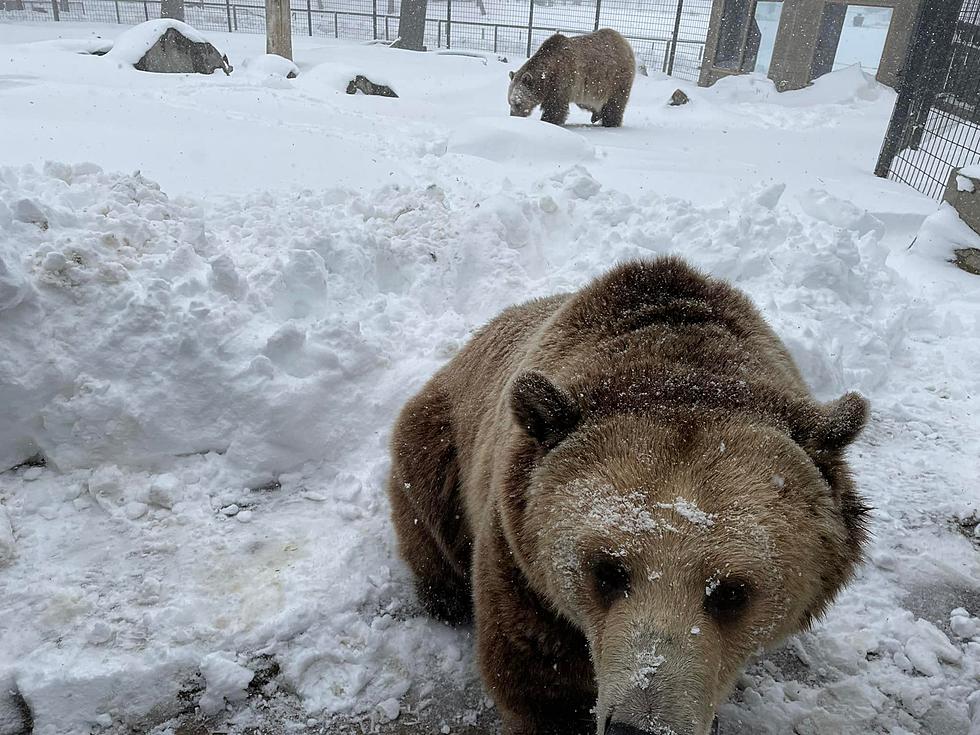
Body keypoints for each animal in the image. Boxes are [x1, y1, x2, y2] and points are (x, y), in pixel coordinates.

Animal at [386, 258, 868, 735]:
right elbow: (538, 682)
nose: (640, 726)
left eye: (731, 592)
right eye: (607, 570)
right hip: (439, 446)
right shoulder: (520, 563)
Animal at [510, 28, 640, 126]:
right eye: (509, 102)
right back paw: (596, 115)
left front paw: (548, 121)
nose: (513, 116)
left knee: (615, 103)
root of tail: (624, 41)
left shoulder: (562, 78)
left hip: (617, 78)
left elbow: (555, 107)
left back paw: (610, 122)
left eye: (517, 103)